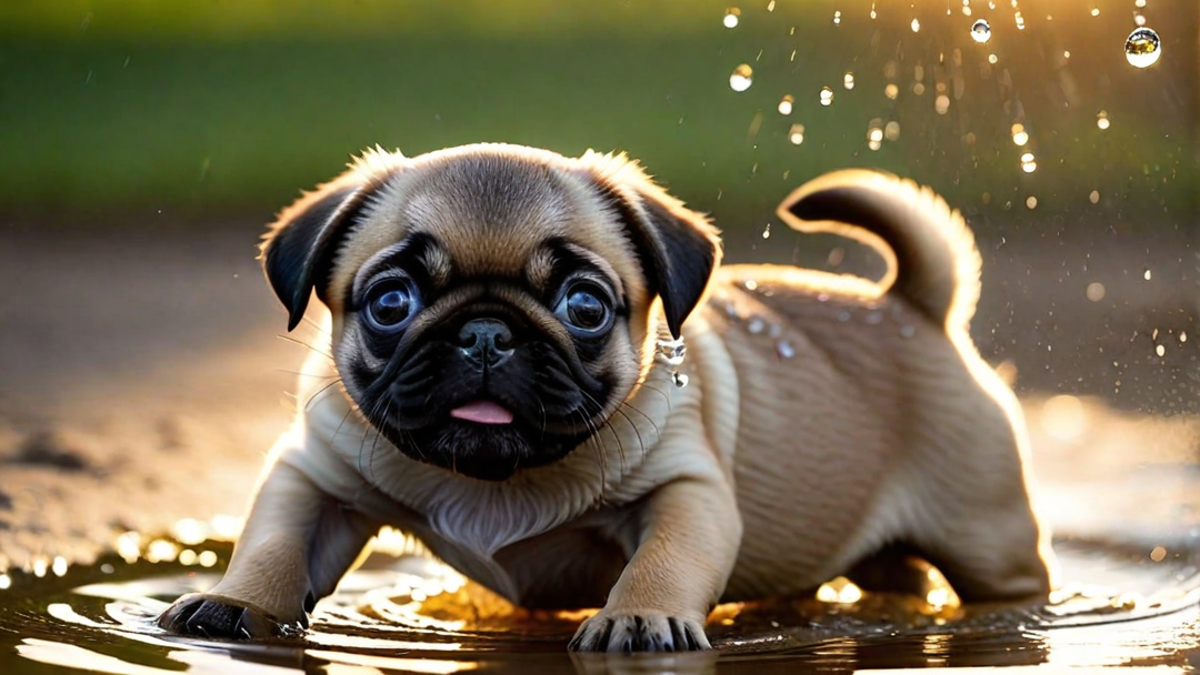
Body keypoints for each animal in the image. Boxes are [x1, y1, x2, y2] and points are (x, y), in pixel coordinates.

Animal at [157, 144, 1051, 648]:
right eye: (391, 302)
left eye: (585, 306)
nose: (487, 333)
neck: (499, 478)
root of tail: (911, 305)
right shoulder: (316, 476)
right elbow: (275, 541)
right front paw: (235, 603)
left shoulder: (687, 490)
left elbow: (663, 558)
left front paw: (639, 618)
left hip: (986, 531)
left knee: (1009, 575)